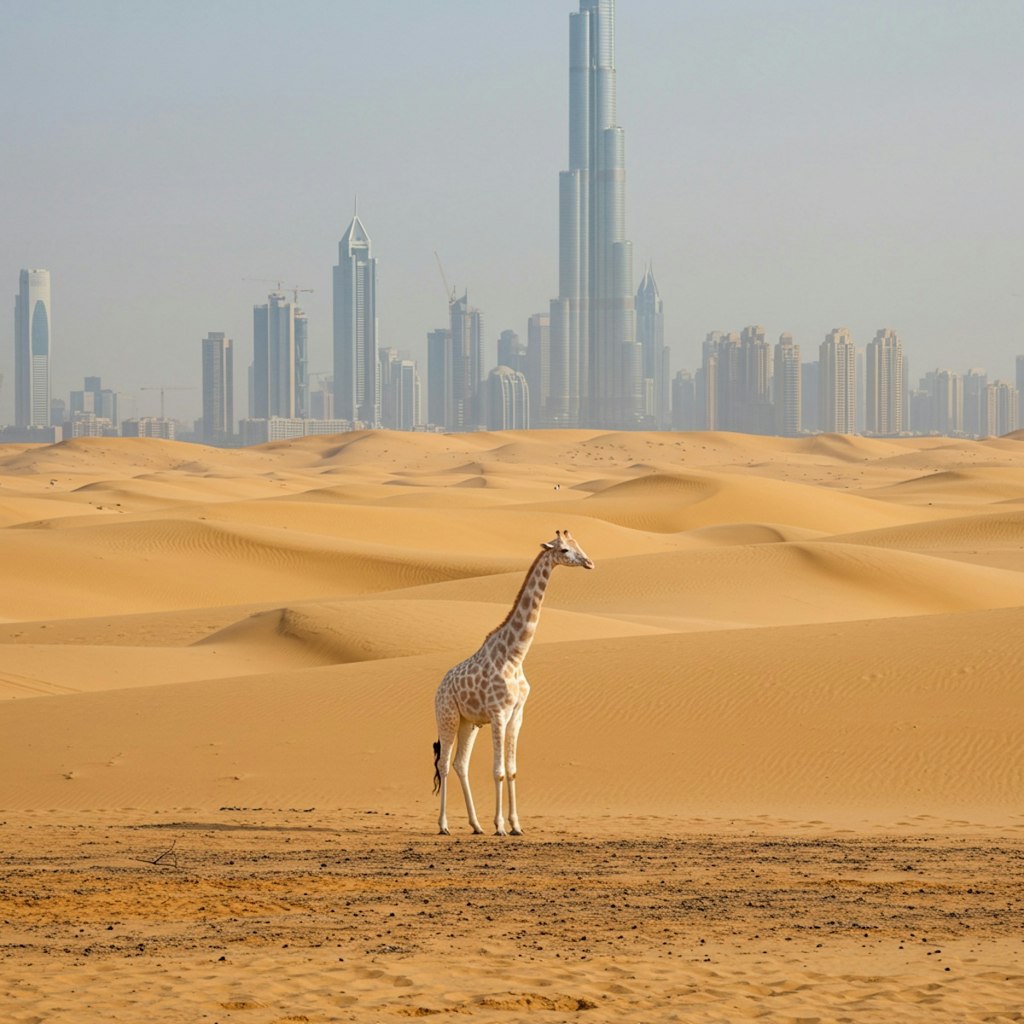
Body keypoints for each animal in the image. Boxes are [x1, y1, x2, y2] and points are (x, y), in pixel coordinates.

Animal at [430, 532, 593, 835]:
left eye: (579, 545)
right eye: (564, 550)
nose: (589, 562)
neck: (515, 656)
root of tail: (439, 687)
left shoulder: (517, 715)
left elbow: (513, 770)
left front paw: (516, 825)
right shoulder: (498, 714)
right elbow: (498, 771)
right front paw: (501, 826)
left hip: (468, 722)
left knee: (460, 764)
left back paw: (476, 825)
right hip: (446, 716)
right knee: (445, 764)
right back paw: (444, 825)